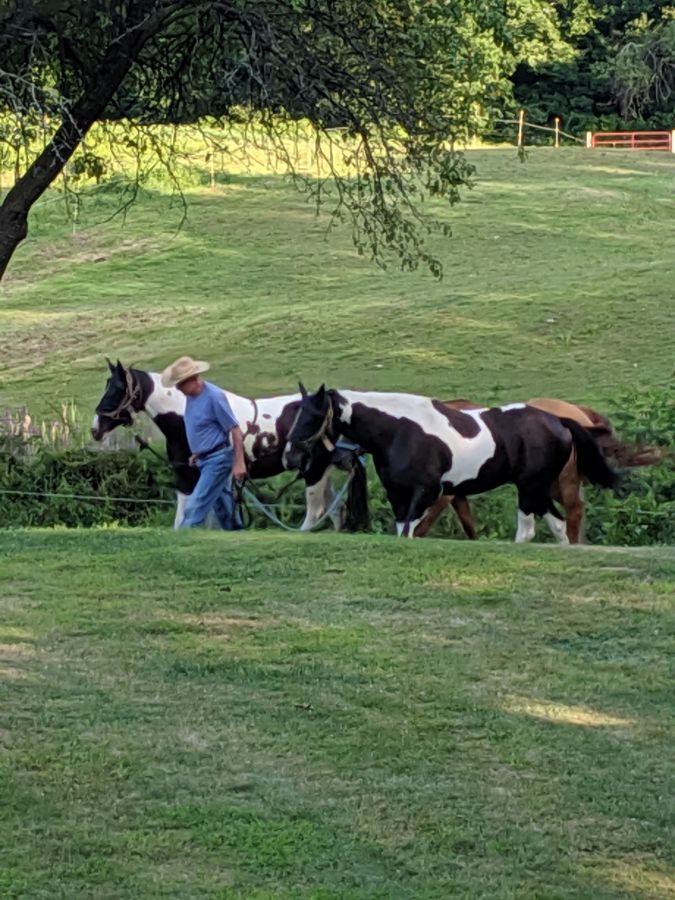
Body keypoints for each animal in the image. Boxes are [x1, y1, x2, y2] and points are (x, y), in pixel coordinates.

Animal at [92, 358, 368, 528]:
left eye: (116, 389)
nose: (95, 429)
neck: (183, 416)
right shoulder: (186, 476)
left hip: (313, 470)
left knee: (316, 512)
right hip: (323, 470)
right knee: (334, 510)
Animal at [286, 386, 616, 540]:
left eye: (313, 417)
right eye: (297, 413)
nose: (291, 456)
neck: (401, 429)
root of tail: (559, 420)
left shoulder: (427, 493)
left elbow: (411, 531)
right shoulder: (399, 496)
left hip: (529, 489)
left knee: (528, 531)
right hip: (539, 489)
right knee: (560, 527)